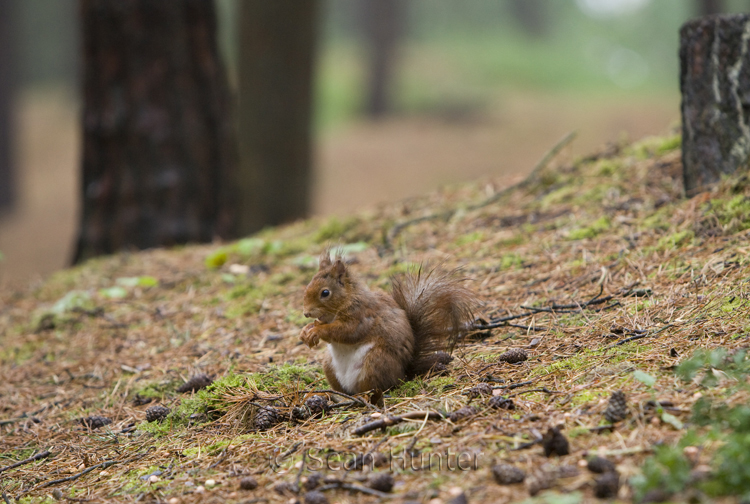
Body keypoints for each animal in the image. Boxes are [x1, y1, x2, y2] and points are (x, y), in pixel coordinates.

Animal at [300, 249, 479, 404]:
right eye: (307, 286)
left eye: (325, 293)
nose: (306, 313)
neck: (348, 298)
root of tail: (403, 372)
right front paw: (306, 331)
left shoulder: (361, 316)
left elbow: (346, 332)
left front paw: (316, 331)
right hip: (329, 366)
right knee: (343, 391)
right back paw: (329, 396)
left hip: (375, 362)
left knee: (376, 388)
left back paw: (362, 397)